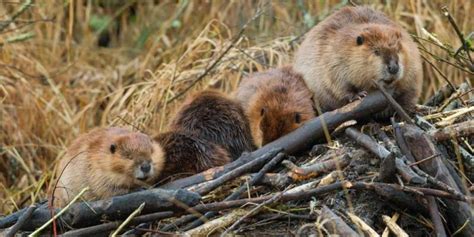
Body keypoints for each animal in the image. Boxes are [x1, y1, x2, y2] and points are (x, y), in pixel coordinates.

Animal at [292, 6, 422, 115]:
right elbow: (338, 83)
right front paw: (358, 95)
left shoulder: (413, 61)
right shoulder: (333, 58)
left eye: (398, 49)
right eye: (376, 51)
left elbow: (410, 88)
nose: (393, 68)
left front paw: (404, 108)